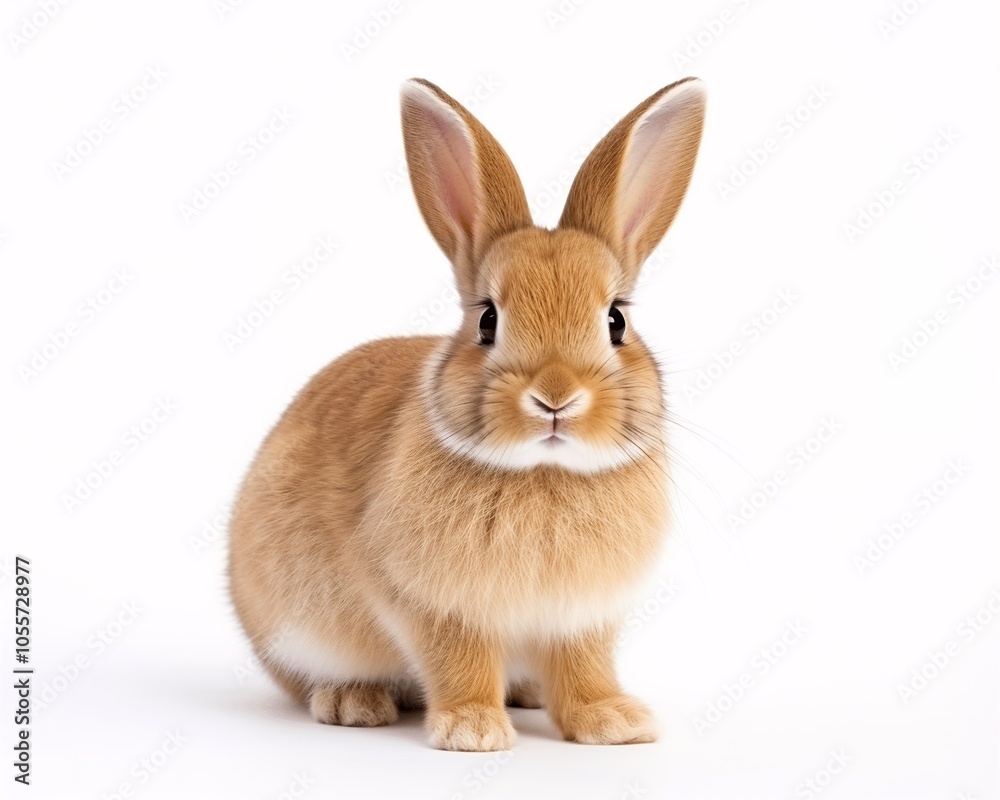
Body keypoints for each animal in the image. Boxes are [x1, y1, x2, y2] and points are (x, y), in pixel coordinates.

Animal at [228, 76, 706, 751]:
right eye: (487, 320)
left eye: (616, 320)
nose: (555, 397)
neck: (543, 472)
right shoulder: (433, 605)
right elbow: (460, 661)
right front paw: (473, 730)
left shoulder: (582, 618)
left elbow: (585, 667)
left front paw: (614, 722)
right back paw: (354, 702)